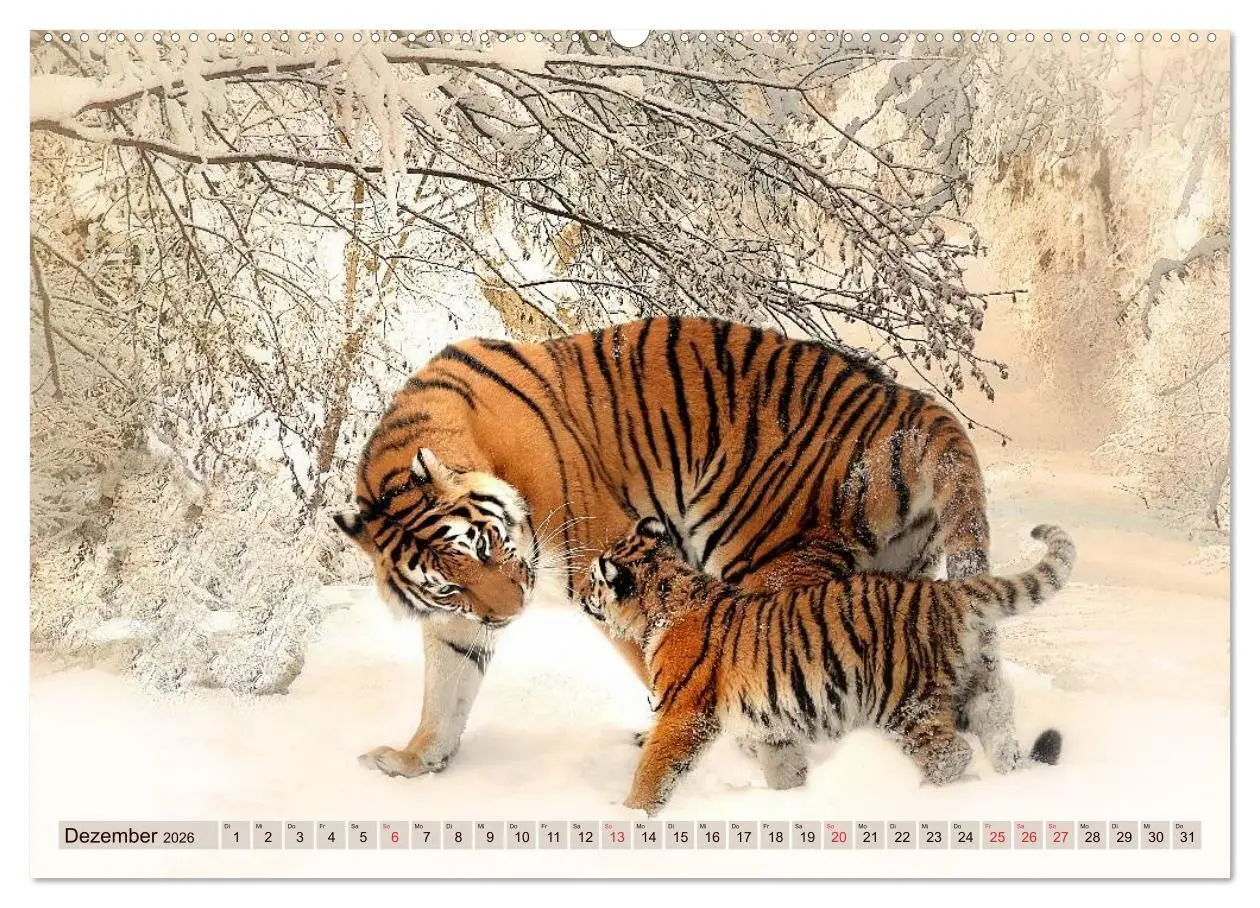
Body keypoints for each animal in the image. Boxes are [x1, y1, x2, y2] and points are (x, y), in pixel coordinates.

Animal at [334, 316, 1017, 782]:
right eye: (448, 583)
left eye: (483, 546)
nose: (509, 614)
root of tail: (912, 405)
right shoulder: (459, 620)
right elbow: (445, 687)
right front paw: (415, 760)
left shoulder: (604, 558)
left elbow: (662, 661)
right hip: (898, 575)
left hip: (769, 560)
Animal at [579, 517, 1073, 816]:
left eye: (593, 579)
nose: (581, 594)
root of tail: (946, 592)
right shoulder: (772, 726)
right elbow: (784, 768)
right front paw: (793, 801)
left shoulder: (683, 714)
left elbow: (654, 769)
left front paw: (630, 816)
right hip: (977, 688)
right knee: (999, 729)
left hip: (904, 702)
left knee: (951, 754)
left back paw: (924, 798)